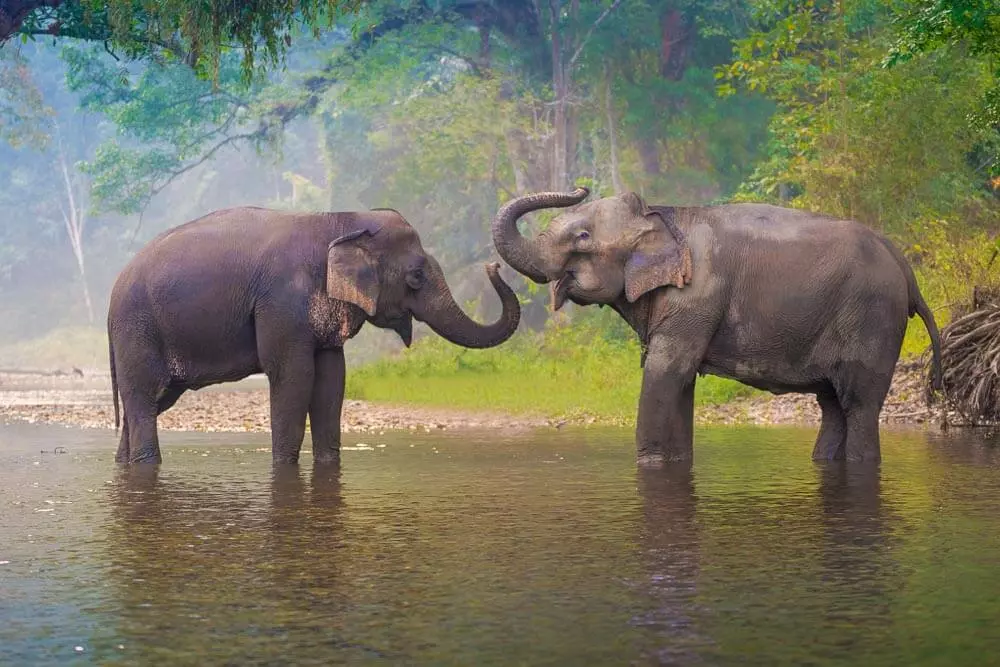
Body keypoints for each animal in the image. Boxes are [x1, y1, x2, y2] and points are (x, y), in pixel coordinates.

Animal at [107, 206, 524, 468]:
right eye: (417, 276)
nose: (494, 265)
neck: (339, 221)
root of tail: (114, 290)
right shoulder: (281, 302)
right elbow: (293, 376)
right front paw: (284, 468)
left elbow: (331, 379)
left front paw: (328, 464)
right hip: (138, 329)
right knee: (144, 396)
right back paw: (146, 464)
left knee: (152, 401)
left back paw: (124, 462)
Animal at [494, 188, 944, 464]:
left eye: (583, 237)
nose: (580, 186)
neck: (663, 215)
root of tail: (905, 268)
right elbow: (680, 382)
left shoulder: (696, 296)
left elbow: (665, 373)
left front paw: (649, 464)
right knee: (832, 405)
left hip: (872, 318)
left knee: (859, 404)